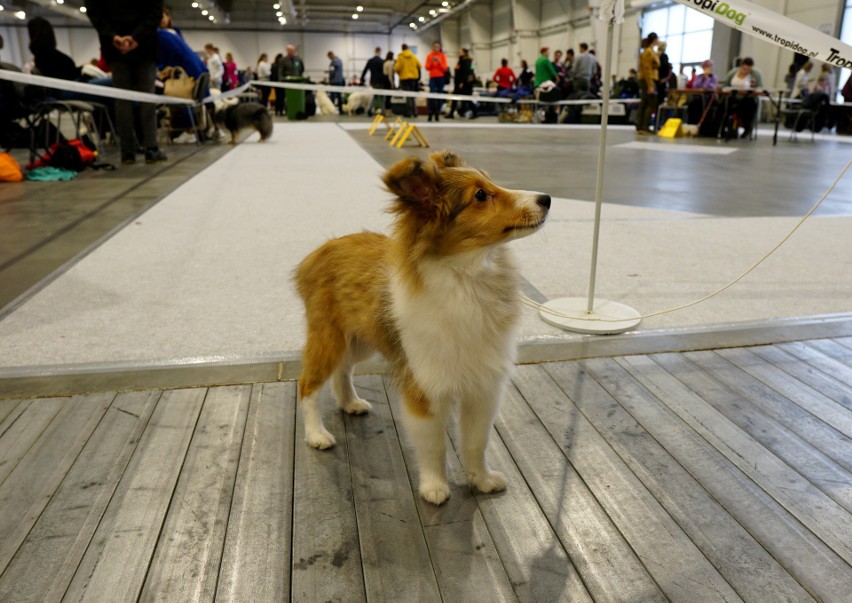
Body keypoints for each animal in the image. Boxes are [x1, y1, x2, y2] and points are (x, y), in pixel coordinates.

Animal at [296, 150, 552, 504]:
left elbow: (475, 443)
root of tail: (321, 249)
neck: (467, 280)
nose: (547, 199)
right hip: (329, 338)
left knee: (343, 370)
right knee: (307, 384)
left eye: (491, 182)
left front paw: (482, 480)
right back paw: (317, 434)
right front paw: (434, 487)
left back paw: (350, 403)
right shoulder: (425, 387)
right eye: (480, 195)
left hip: (361, 341)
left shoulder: (483, 389)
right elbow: (434, 446)